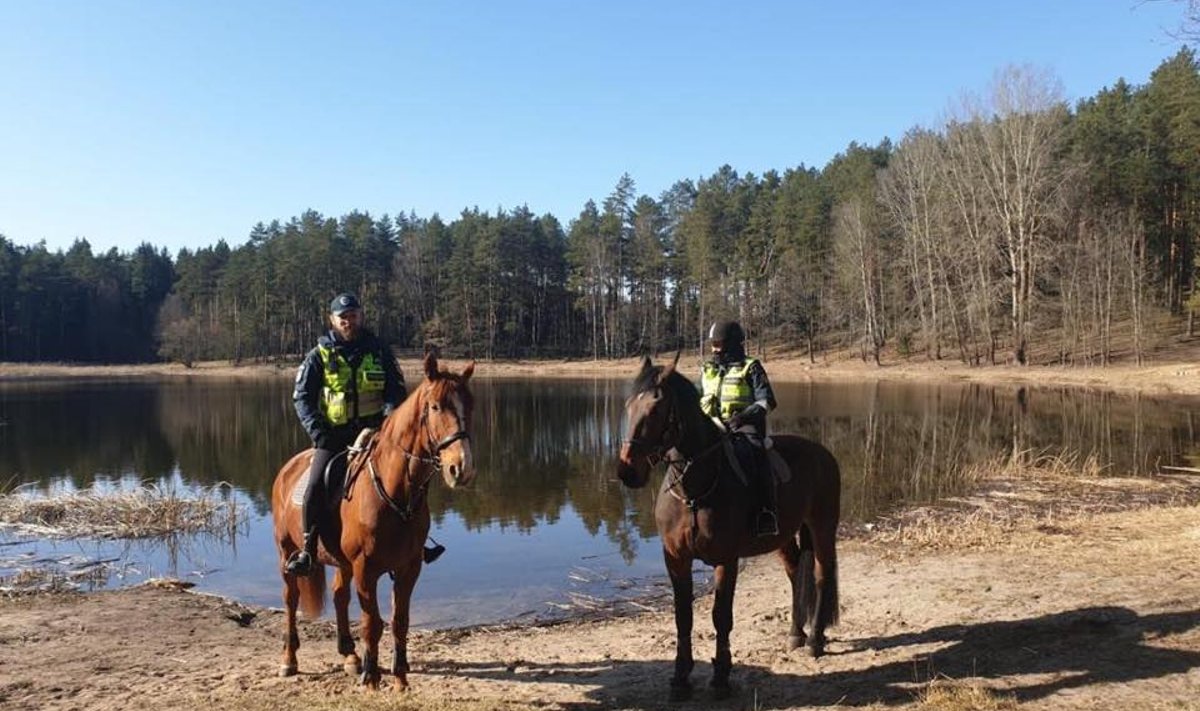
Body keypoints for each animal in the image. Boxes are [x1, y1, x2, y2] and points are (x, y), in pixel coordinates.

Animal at [274, 353, 475, 686]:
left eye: (469, 406)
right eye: (435, 406)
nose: (461, 469)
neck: (395, 492)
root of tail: (288, 467)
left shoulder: (409, 568)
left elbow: (399, 621)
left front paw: (399, 676)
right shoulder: (365, 569)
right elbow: (373, 623)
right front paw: (371, 676)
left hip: (341, 562)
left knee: (339, 596)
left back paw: (350, 656)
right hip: (287, 551)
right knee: (290, 599)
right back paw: (289, 660)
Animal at [614, 355, 840, 701]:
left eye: (655, 409)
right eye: (628, 406)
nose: (627, 470)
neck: (695, 492)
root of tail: (823, 452)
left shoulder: (726, 560)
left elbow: (721, 617)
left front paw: (721, 676)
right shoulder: (675, 559)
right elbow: (683, 617)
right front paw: (680, 678)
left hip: (823, 527)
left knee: (820, 575)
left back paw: (815, 640)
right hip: (785, 537)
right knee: (794, 575)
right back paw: (795, 634)